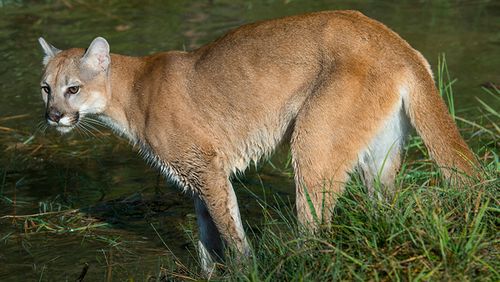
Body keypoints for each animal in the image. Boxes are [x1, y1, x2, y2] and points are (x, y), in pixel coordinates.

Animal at [38, 10, 476, 274]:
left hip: (313, 139)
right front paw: (209, 273)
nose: (53, 115)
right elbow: (207, 234)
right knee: (384, 205)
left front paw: (245, 270)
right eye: (45, 88)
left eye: (73, 89)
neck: (131, 93)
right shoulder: (197, 174)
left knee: (317, 226)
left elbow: (231, 232)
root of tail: (395, 42)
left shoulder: (206, 168)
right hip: (380, 154)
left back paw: (299, 264)